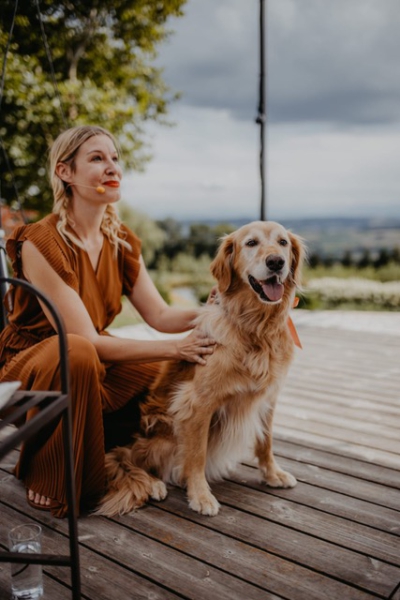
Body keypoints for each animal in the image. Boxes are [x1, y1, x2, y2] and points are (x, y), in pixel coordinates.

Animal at [96, 220, 304, 516]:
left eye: (283, 242)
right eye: (251, 243)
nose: (276, 262)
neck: (256, 326)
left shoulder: (268, 398)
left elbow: (266, 442)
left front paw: (272, 474)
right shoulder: (197, 403)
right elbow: (196, 455)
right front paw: (201, 496)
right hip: (160, 436)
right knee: (125, 457)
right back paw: (153, 483)